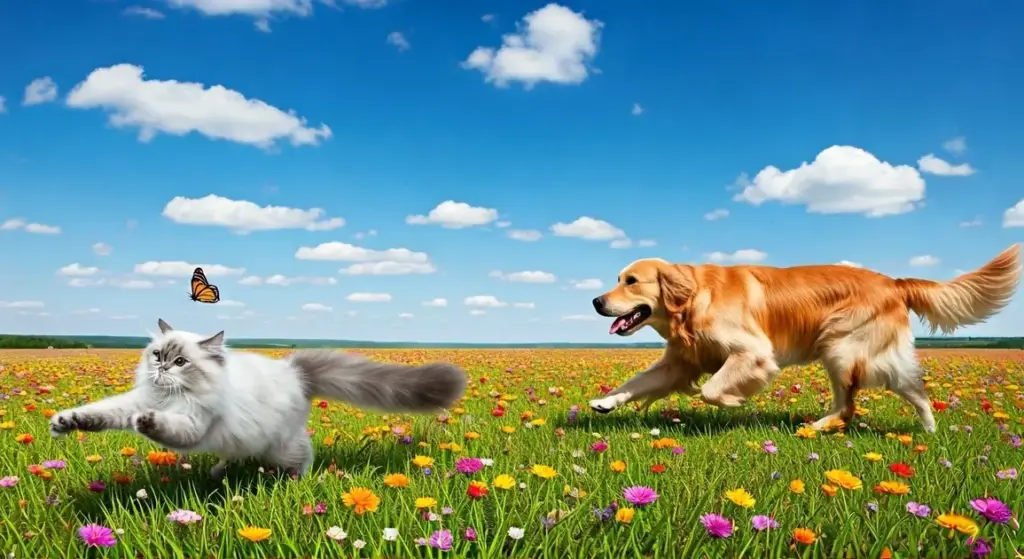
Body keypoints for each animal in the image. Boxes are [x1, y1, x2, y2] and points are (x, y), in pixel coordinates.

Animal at [47, 319, 464, 477]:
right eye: (158, 355)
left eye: (181, 362)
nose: (162, 369)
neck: (169, 398)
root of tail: (294, 370)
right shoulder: (133, 401)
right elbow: (99, 413)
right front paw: (66, 422)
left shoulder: (194, 424)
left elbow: (164, 426)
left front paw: (146, 422)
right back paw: (218, 472)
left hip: (281, 446)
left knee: (303, 456)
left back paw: (297, 479)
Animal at [589, 240, 1019, 430]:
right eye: (618, 279)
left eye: (631, 281)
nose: (595, 301)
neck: (693, 299)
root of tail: (893, 281)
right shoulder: (679, 362)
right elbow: (637, 382)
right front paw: (605, 402)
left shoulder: (755, 352)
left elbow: (712, 389)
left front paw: (732, 400)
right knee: (865, 401)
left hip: (843, 348)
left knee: (890, 393)